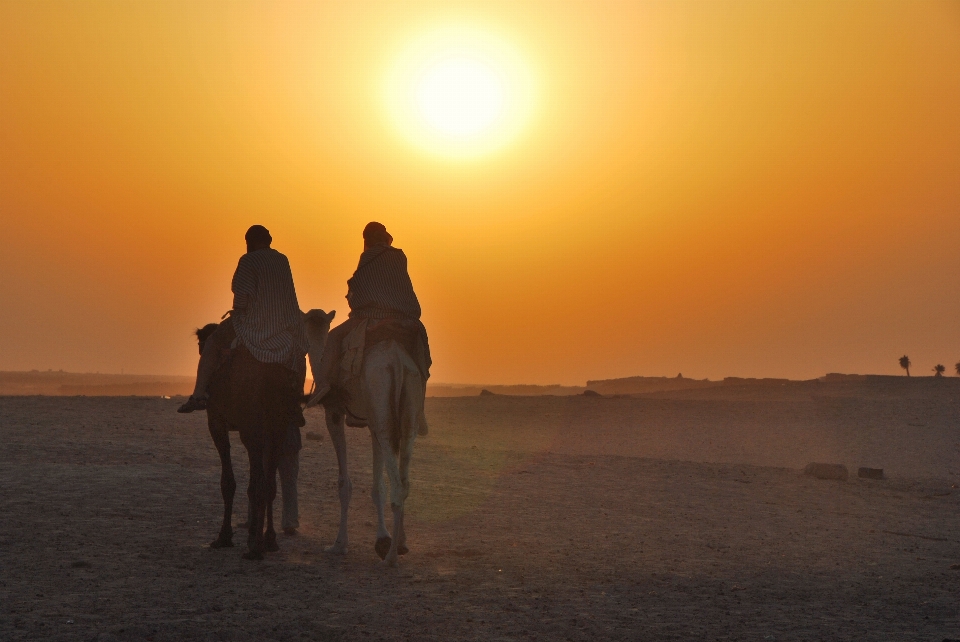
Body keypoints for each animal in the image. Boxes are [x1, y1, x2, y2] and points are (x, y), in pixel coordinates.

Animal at [300, 310, 420, 564]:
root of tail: (397, 362)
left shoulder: (334, 413)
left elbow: (344, 482)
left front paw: (339, 544)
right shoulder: (372, 424)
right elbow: (378, 485)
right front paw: (383, 539)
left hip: (380, 403)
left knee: (398, 485)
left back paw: (391, 558)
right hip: (405, 415)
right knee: (404, 482)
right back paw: (399, 546)